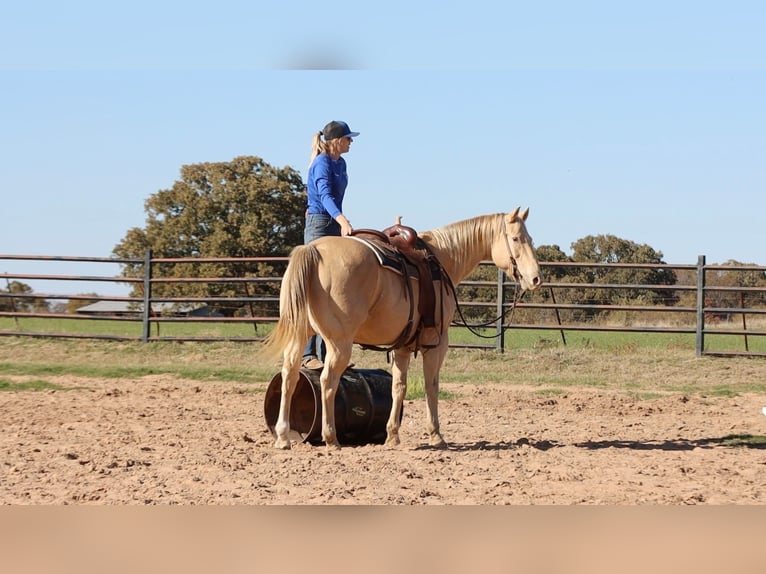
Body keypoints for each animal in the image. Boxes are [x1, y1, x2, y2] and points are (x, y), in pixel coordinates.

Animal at [260, 207, 542, 449]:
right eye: (516, 238)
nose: (535, 278)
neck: (442, 258)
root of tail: (314, 250)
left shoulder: (402, 346)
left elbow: (399, 387)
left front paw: (392, 435)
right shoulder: (437, 344)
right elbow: (431, 386)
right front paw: (436, 435)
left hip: (299, 335)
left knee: (289, 376)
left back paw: (283, 436)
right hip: (339, 343)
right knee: (328, 381)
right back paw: (331, 438)